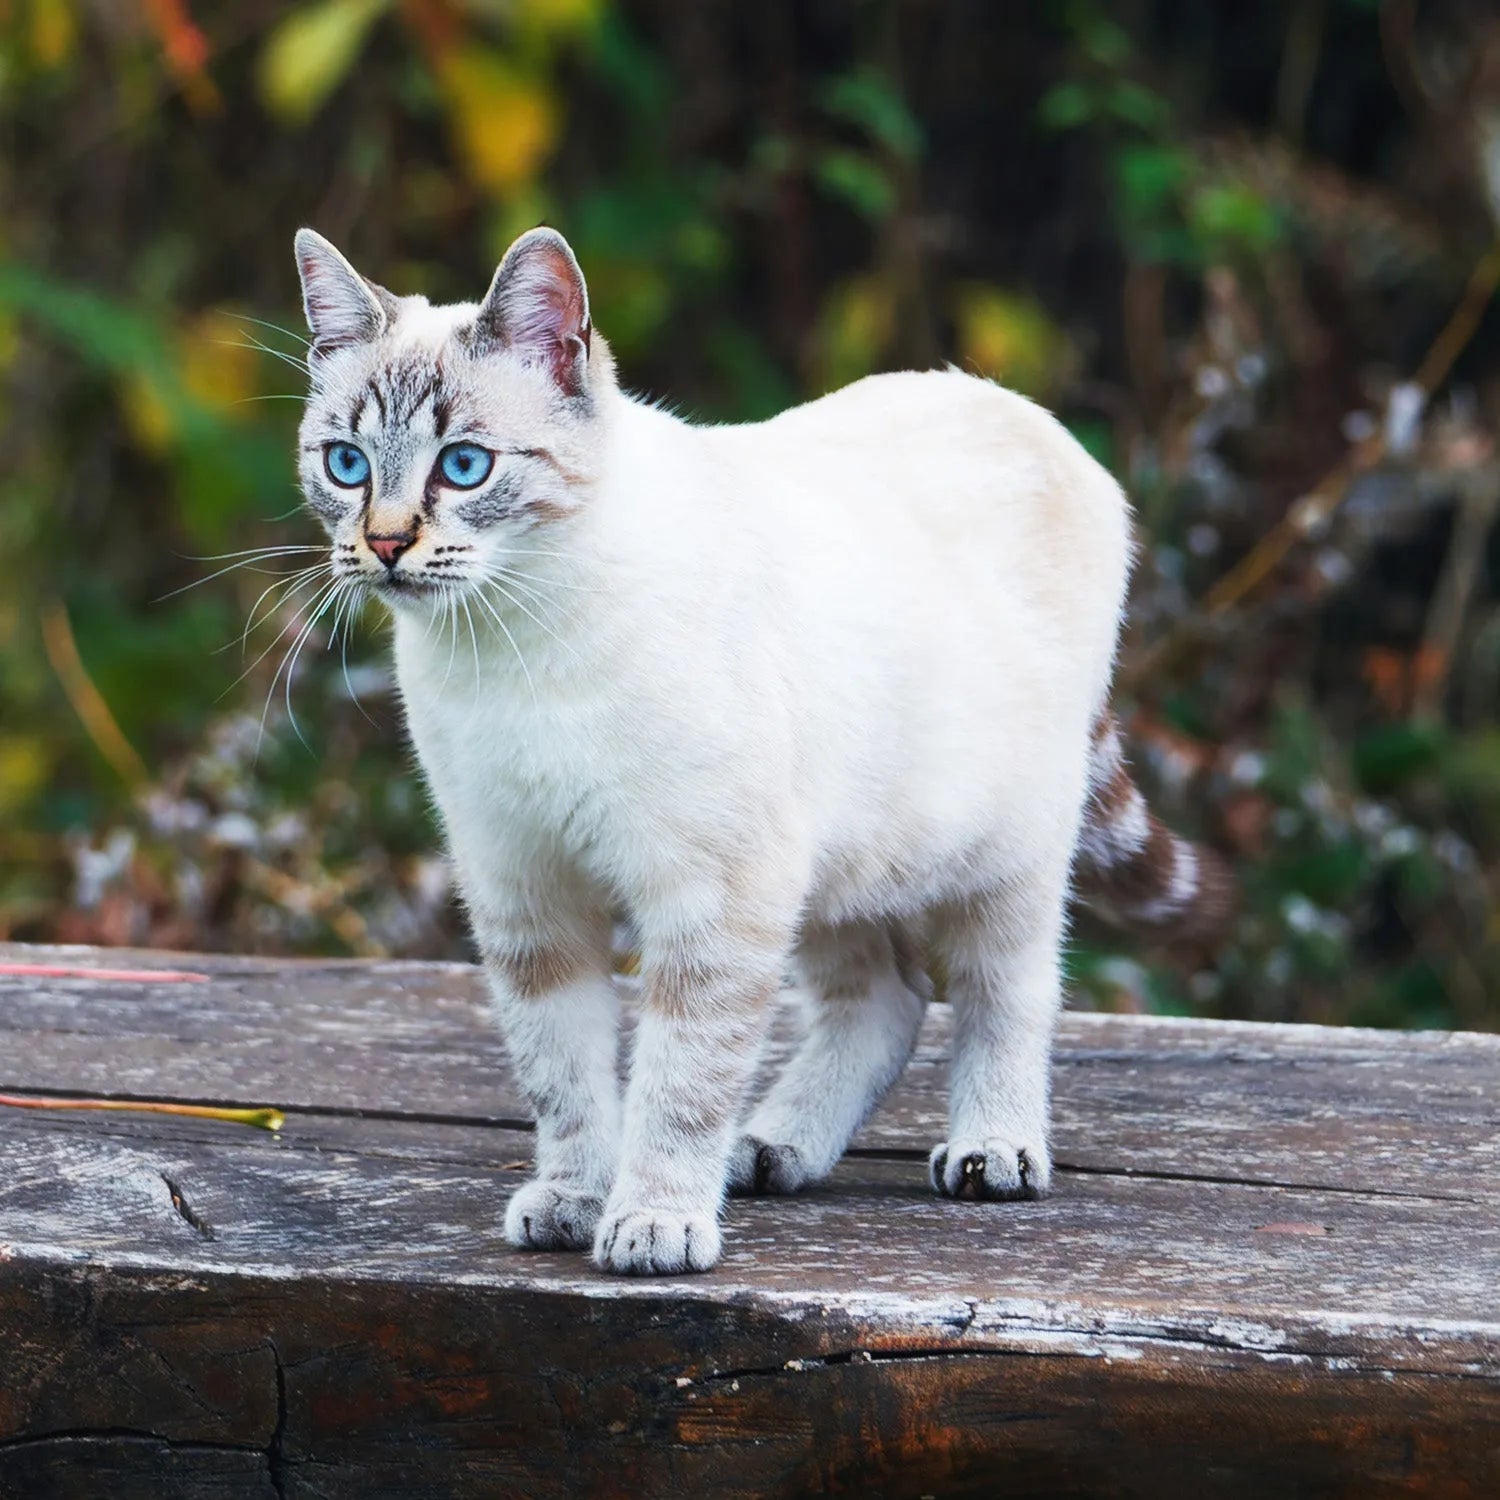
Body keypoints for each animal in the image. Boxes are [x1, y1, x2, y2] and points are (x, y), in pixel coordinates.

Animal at [295, 225, 1230, 1278]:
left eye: (462, 466)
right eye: (344, 464)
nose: (383, 545)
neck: (514, 645)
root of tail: (1022, 411)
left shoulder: (714, 897)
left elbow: (678, 1082)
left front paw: (654, 1224)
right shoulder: (527, 894)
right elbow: (564, 1078)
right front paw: (576, 1199)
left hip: (1000, 857)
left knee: (1006, 992)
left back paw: (991, 1150)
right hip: (836, 863)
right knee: (885, 1003)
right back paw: (771, 1146)